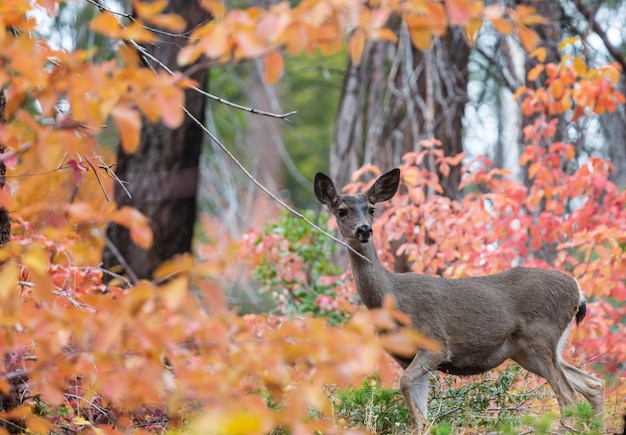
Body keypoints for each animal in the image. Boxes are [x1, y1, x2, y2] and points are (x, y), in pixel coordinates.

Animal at [314, 167, 604, 432]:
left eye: (372, 208)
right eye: (342, 210)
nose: (364, 229)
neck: (392, 298)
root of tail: (577, 289)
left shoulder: (435, 343)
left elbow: (405, 385)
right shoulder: (405, 356)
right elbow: (418, 411)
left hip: (541, 335)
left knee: (568, 397)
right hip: (526, 350)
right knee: (594, 385)